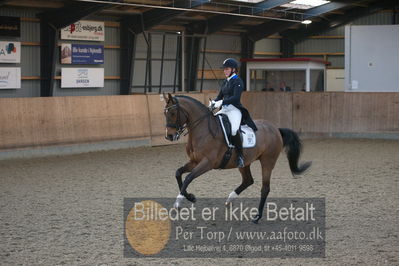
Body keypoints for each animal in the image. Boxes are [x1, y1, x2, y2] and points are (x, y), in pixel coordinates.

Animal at [163, 93, 312, 222]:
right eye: (165, 113)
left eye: (172, 113)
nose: (169, 136)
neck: (203, 131)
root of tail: (276, 129)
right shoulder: (194, 161)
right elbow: (178, 173)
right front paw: (190, 197)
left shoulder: (207, 163)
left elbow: (188, 177)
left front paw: (178, 202)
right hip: (245, 163)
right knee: (248, 180)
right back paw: (230, 200)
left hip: (267, 162)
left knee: (265, 188)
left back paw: (256, 217)